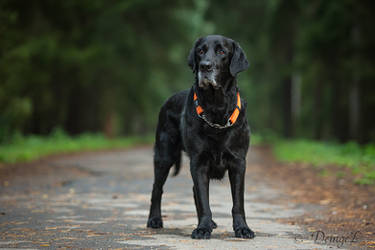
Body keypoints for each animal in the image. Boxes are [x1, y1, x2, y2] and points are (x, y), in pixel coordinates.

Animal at [147, 34, 256, 239]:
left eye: (221, 51)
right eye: (200, 51)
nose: (205, 66)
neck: (216, 109)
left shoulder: (238, 162)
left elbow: (238, 202)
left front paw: (242, 228)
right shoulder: (198, 162)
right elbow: (204, 199)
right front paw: (203, 228)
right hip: (164, 155)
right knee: (157, 189)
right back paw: (154, 220)